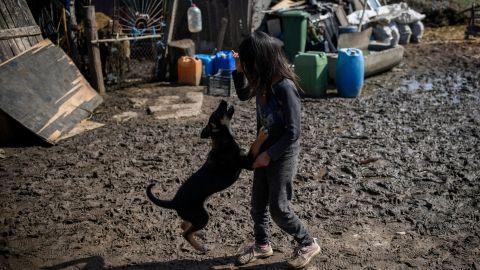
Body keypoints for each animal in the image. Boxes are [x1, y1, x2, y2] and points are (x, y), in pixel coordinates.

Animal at [146, 99, 268, 253]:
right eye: (217, 112)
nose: (223, 100)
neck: (222, 138)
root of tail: (173, 202)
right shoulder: (248, 163)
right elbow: (254, 145)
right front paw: (262, 134)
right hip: (203, 216)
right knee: (185, 233)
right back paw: (200, 247)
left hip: (198, 215)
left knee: (184, 225)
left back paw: (198, 233)